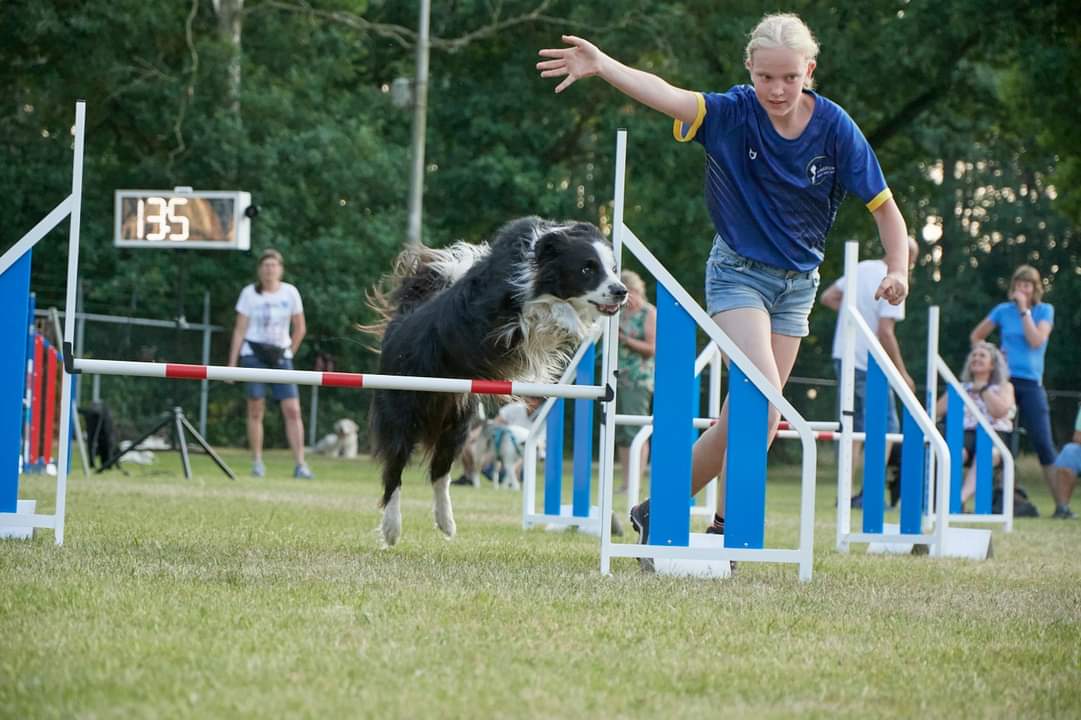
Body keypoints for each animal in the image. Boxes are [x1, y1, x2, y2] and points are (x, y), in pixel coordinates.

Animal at [367, 217, 631, 544]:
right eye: (587, 269)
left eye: (613, 268)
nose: (621, 291)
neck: (541, 264)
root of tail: (398, 323)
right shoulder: (498, 321)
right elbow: (549, 308)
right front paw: (578, 324)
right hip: (402, 410)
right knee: (395, 468)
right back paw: (392, 528)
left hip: (458, 421)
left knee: (440, 471)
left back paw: (446, 522)